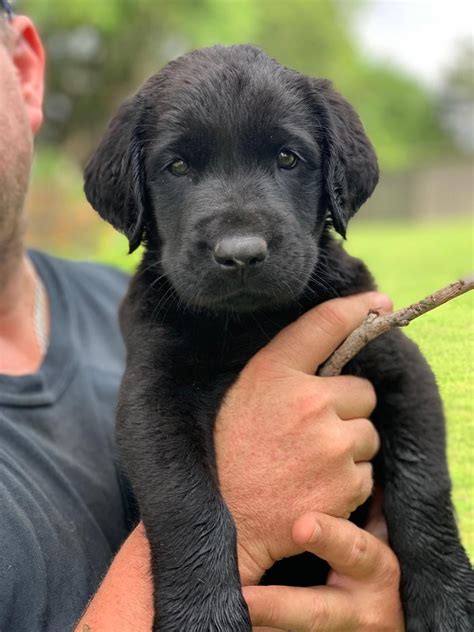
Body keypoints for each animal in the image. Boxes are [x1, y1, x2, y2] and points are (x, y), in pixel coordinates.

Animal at [83, 45, 472, 632]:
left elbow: (423, 485)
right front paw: (204, 615)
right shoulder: (152, 396)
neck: (251, 322)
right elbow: (185, 502)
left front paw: (447, 603)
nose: (240, 253)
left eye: (288, 158)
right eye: (177, 166)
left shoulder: (396, 360)